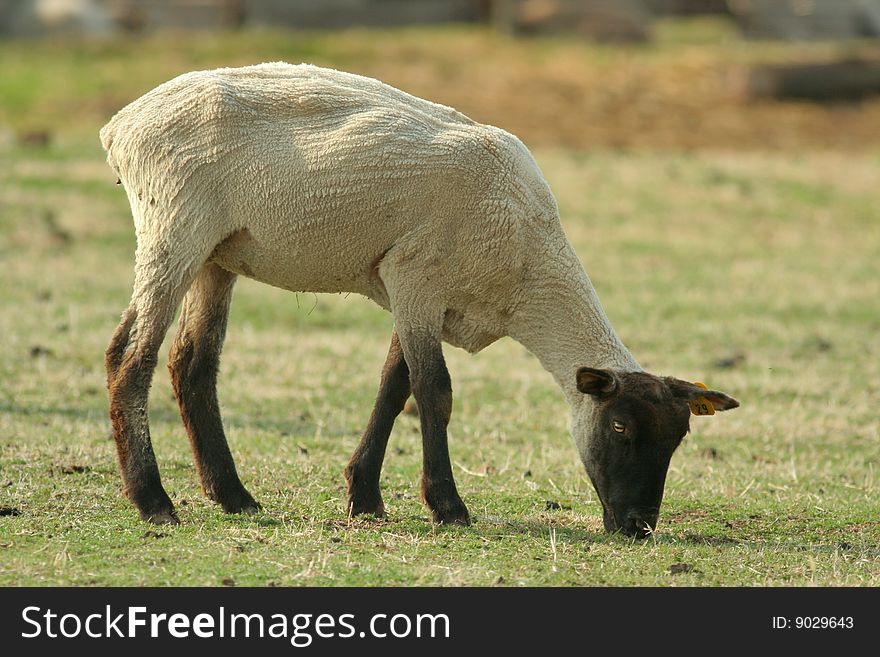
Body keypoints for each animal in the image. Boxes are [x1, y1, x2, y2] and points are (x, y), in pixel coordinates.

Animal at [99, 60, 740, 532]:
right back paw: (154, 502)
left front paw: (365, 498)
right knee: (130, 355)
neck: (529, 272)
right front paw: (448, 507)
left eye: (679, 439)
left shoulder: (420, 295)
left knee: (192, 364)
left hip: (218, 254)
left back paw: (233, 496)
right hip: (174, 226)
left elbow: (393, 386)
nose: (638, 526)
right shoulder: (416, 276)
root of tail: (122, 124)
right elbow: (434, 391)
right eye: (620, 428)